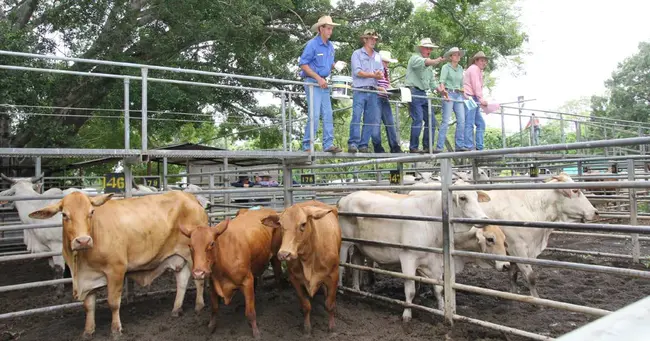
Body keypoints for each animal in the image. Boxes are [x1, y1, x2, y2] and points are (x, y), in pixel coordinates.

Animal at [28, 191, 208, 338]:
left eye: (91, 212)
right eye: (64, 215)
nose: (83, 240)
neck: (81, 263)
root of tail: (190, 198)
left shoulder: (116, 270)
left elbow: (113, 303)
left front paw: (116, 329)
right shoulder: (88, 277)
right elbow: (89, 305)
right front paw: (88, 330)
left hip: (194, 256)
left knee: (199, 280)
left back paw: (199, 306)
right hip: (179, 256)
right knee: (182, 281)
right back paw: (176, 309)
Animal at [182, 205, 284, 338]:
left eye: (212, 243)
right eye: (190, 246)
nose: (199, 273)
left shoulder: (247, 280)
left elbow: (250, 312)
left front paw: (256, 332)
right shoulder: (213, 284)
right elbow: (214, 308)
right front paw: (211, 327)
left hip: (276, 256)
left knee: (278, 275)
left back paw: (279, 295)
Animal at [260, 201, 342, 334]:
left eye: (303, 224)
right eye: (280, 224)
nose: (284, 254)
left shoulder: (334, 275)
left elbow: (329, 304)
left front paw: (332, 327)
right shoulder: (295, 279)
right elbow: (306, 305)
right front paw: (307, 328)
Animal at [334, 181, 496, 322]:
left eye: (476, 197)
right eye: (462, 198)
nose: (484, 218)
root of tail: (344, 198)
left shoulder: (434, 261)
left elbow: (438, 288)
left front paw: (442, 310)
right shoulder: (408, 257)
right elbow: (410, 290)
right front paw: (407, 314)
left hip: (359, 245)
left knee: (356, 263)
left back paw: (357, 289)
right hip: (344, 243)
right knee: (341, 266)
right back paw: (341, 290)